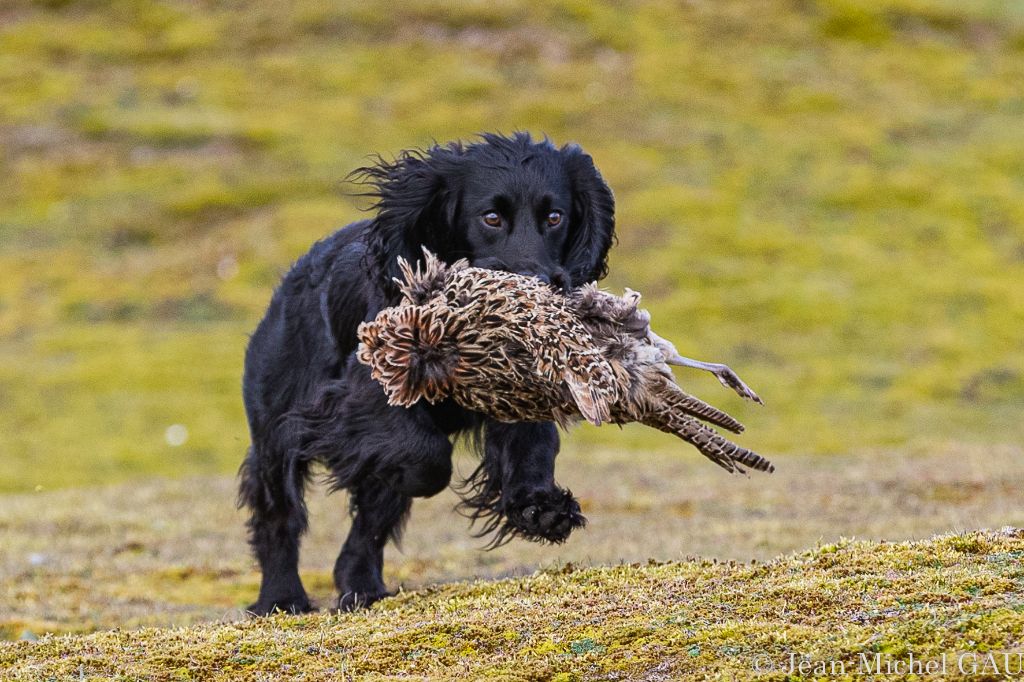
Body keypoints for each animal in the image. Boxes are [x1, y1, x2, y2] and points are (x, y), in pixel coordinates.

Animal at [235, 131, 610, 610]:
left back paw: (362, 587)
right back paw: (282, 598)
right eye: (491, 217)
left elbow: (533, 445)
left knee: (366, 529)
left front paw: (539, 507)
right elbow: (427, 456)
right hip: (274, 431)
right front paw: (410, 472)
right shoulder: (360, 398)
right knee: (279, 516)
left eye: (555, 217)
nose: (537, 285)